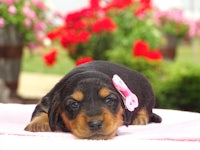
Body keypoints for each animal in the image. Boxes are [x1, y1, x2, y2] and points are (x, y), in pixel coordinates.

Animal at [24, 60, 162, 139]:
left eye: (109, 100)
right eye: (74, 104)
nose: (95, 124)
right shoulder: (47, 101)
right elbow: (42, 111)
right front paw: (39, 123)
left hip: (148, 91)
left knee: (146, 109)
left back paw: (139, 118)